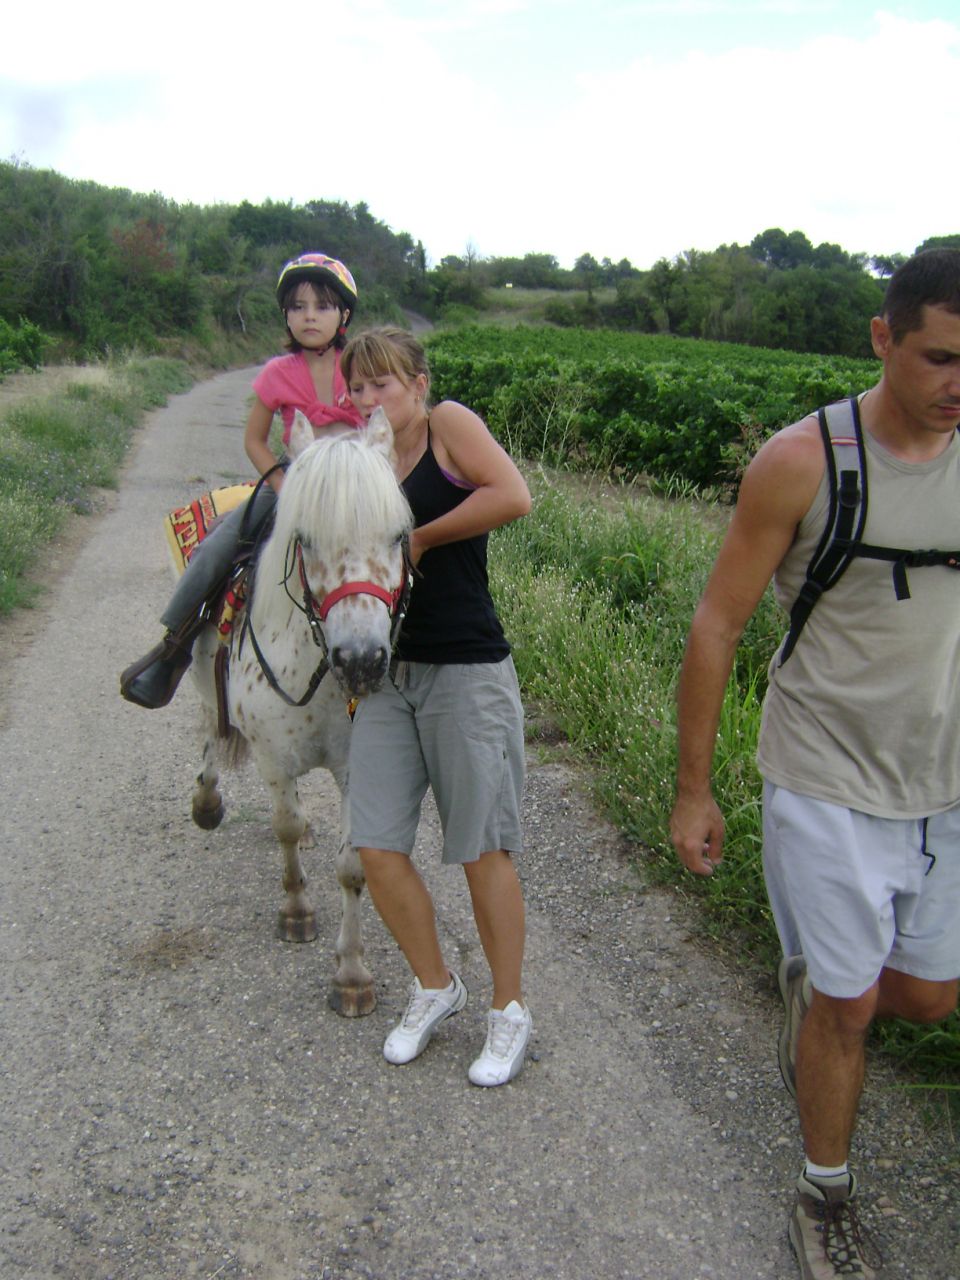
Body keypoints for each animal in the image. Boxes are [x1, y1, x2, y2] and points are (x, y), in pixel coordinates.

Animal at [188, 407, 413, 1016]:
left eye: (398, 535)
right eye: (304, 538)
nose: (361, 660)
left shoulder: (358, 768)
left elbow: (353, 867)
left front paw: (352, 972)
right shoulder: (272, 758)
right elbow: (284, 828)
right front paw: (295, 911)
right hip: (203, 681)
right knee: (209, 730)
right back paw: (207, 800)